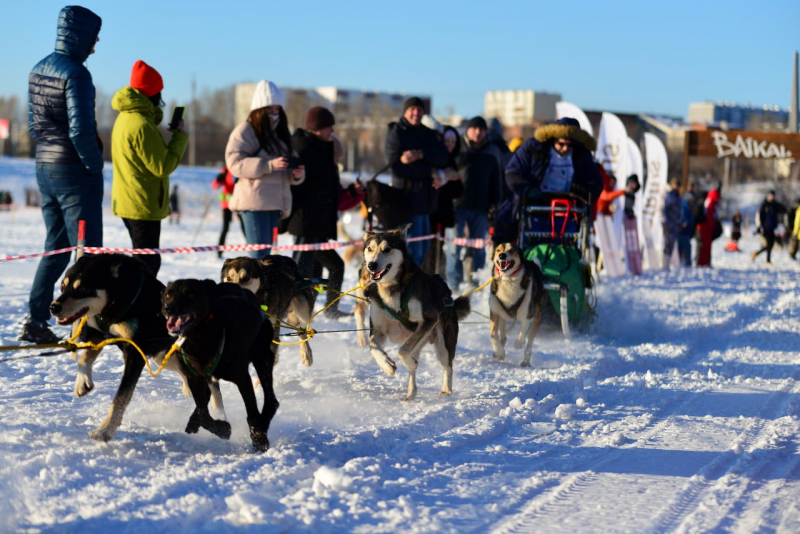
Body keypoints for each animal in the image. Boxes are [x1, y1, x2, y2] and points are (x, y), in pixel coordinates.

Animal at [48, 255, 225, 444]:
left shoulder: (135, 353)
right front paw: (82, 383)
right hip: (164, 356)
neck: (120, 296)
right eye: (63, 285)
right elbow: (83, 359)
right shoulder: (99, 334)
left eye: (82, 288)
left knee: (211, 386)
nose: (54, 307)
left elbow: (121, 396)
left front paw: (105, 430)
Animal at [159, 280, 278, 452]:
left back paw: (264, 423)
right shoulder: (194, 377)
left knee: (271, 400)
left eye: (190, 294)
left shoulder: (242, 378)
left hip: (262, 359)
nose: (169, 308)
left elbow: (252, 412)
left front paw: (259, 439)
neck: (200, 339)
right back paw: (193, 422)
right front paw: (222, 429)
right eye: (168, 295)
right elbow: (203, 413)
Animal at [360, 223, 472, 402]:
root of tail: (447, 293)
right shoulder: (379, 332)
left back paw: (447, 390)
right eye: (370, 249)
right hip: (419, 341)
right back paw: (411, 393)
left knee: (448, 367)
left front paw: (404, 362)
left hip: (443, 345)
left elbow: (402, 351)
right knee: (413, 368)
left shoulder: (429, 319)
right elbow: (373, 347)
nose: (372, 265)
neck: (392, 289)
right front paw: (386, 365)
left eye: (387, 249)